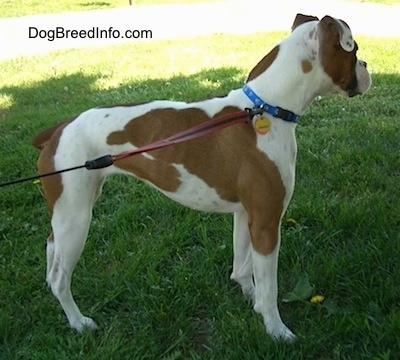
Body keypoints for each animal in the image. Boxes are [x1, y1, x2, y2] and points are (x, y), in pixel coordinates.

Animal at [32, 13, 372, 340]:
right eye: (353, 49)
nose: (367, 65)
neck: (266, 107)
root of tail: (60, 127)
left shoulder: (246, 215)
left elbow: (242, 267)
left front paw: (252, 301)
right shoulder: (266, 223)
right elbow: (269, 287)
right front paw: (276, 330)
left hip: (67, 213)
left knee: (51, 253)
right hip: (76, 220)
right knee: (61, 278)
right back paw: (79, 323)